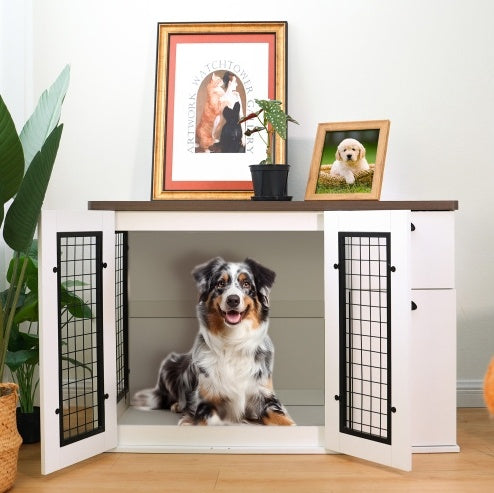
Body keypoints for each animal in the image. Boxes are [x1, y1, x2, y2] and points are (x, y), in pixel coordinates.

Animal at [131, 256, 294, 424]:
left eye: (246, 283)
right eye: (220, 283)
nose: (233, 300)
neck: (233, 340)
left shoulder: (265, 394)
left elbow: (284, 420)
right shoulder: (206, 400)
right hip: (168, 364)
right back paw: (177, 405)